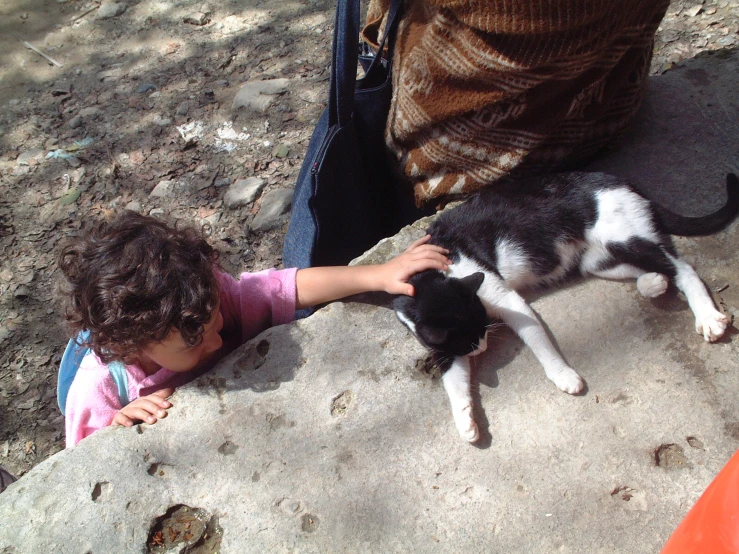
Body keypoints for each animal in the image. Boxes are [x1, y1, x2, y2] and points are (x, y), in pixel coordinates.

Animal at [396, 171, 739, 440]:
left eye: (480, 330)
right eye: (470, 340)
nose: (481, 348)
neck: (429, 273)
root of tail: (618, 179)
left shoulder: (506, 299)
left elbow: (538, 341)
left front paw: (563, 375)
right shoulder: (441, 344)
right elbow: (452, 380)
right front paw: (465, 420)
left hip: (623, 236)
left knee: (683, 268)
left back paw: (707, 316)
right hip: (596, 260)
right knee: (647, 269)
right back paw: (653, 283)